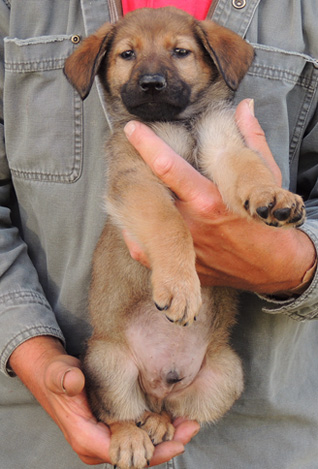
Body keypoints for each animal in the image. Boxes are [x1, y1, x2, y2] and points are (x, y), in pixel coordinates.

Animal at [63, 7, 304, 468]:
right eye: (126, 54)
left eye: (180, 52)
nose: (151, 84)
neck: (179, 122)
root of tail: (160, 382)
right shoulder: (139, 179)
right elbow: (169, 224)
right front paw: (180, 286)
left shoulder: (224, 144)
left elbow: (248, 168)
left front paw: (273, 196)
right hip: (106, 358)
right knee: (116, 411)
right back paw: (130, 438)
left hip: (226, 374)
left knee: (170, 409)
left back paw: (159, 422)